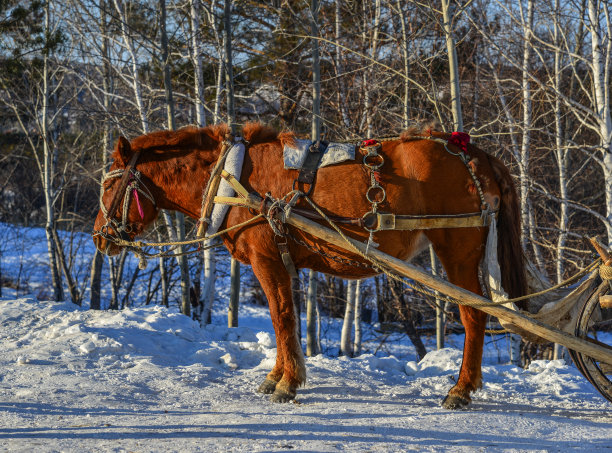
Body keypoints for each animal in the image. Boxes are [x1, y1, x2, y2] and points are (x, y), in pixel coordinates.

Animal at [93, 122, 528, 408]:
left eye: (109, 184)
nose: (99, 237)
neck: (233, 178)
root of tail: (475, 155)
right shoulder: (279, 262)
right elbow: (282, 317)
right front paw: (276, 376)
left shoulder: (267, 258)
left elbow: (282, 315)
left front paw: (287, 383)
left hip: (457, 250)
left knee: (474, 315)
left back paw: (460, 389)